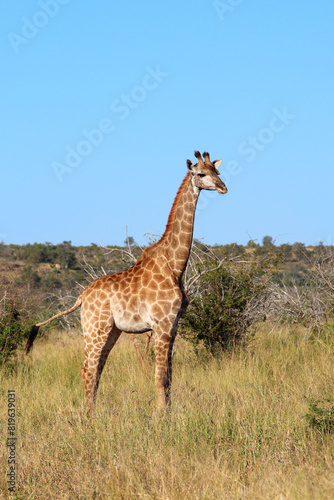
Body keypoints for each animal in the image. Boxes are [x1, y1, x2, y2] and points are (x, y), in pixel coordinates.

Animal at [26, 150, 227, 412]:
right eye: (201, 174)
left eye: (217, 171)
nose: (223, 187)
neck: (175, 265)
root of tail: (81, 297)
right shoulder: (161, 324)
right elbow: (161, 377)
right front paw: (161, 416)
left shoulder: (173, 325)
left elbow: (170, 377)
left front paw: (168, 413)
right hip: (95, 328)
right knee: (87, 369)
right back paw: (89, 416)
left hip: (111, 330)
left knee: (97, 369)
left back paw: (94, 412)